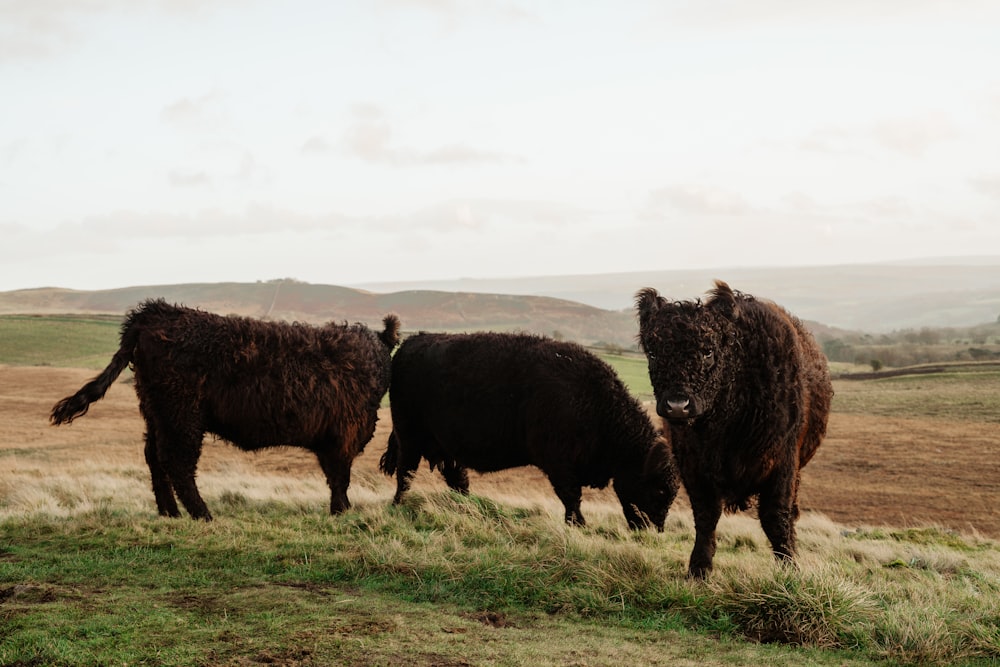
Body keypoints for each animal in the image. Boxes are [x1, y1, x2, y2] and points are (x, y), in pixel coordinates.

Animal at [47, 300, 398, 524]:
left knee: (155, 458)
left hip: (156, 412)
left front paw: (341, 512)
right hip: (182, 414)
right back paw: (203, 515)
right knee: (177, 463)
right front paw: (343, 512)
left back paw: (170, 513)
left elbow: (337, 477)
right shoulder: (345, 433)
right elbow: (340, 478)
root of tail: (156, 311)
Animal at [636, 280, 832, 576]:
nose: (677, 405)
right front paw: (699, 570)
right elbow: (706, 517)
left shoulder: (783, 462)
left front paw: (790, 568)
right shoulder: (692, 465)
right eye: (653, 352)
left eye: (708, 350)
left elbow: (775, 517)